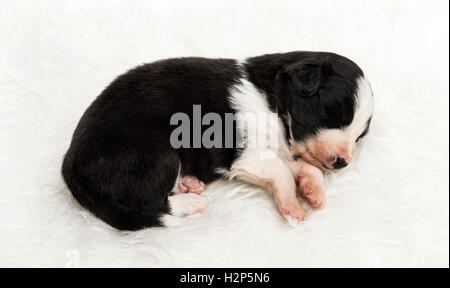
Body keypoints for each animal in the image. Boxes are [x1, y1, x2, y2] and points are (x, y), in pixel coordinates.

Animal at [61, 50, 374, 231]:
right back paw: (191, 203)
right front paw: (293, 207)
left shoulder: (276, 152)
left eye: (360, 135)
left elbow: (302, 168)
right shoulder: (242, 153)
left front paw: (312, 191)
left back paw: (189, 184)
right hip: (158, 152)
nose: (343, 163)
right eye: (333, 113)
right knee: (149, 203)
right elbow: (282, 172)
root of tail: (69, 167)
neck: (273, 104)